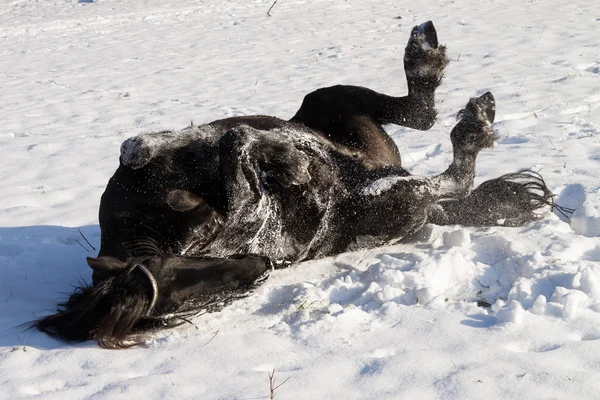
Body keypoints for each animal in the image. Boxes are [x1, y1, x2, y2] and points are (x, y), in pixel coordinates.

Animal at [31, 21, 556, 346]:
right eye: (194, 289)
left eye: (176, 274)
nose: (262, 268)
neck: (153, 216)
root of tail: (377, 172)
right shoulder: (240, 217)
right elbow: (242, 172)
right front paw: (287, 168)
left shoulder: (153, 158)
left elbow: (163, 141)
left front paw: (281, 160)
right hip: (397, 200)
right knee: (450, 172)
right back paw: (471, 126)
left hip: (330, 100)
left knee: (418, 112)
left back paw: (428, 63)